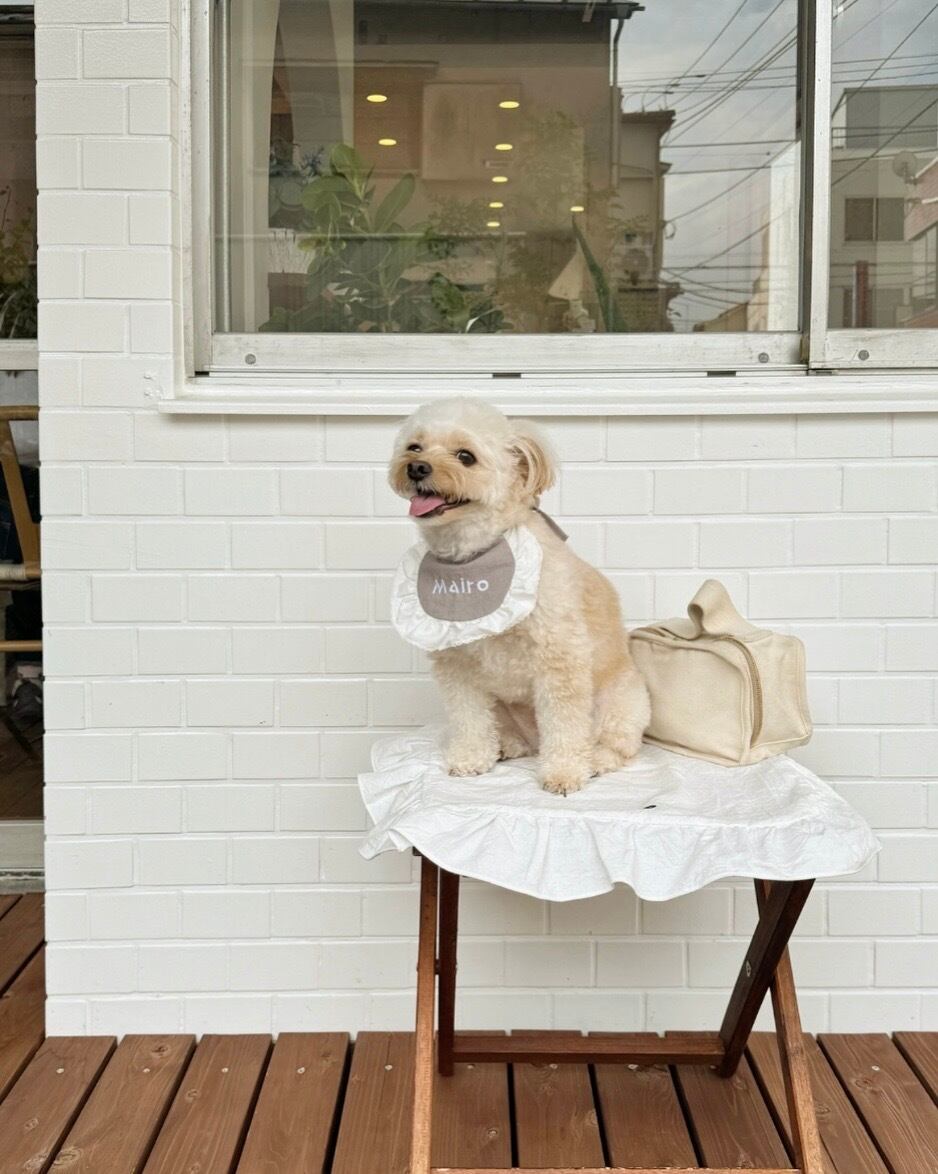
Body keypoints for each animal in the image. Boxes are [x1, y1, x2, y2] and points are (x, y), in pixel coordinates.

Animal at [389, 397, 650, 795]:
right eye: (414, 447)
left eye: (465, 456)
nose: (417, 468)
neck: (473, 554)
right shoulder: (458, 666)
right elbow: (468, 718)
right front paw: (470, 758)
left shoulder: (560, 658)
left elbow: (564, 724)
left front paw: (563, 772)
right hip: (503, 707)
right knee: (510, 733)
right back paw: (507, 745)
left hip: (623, 703)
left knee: (617, 744)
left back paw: (595, 760)